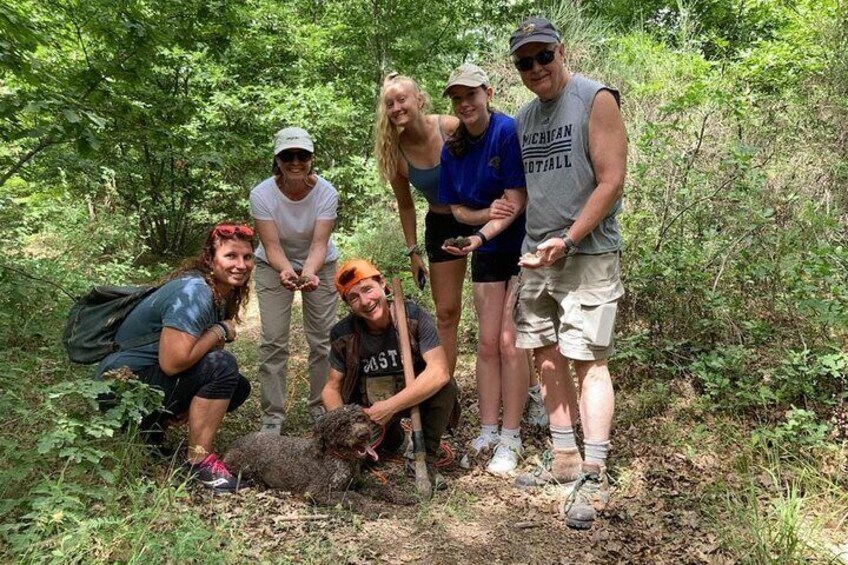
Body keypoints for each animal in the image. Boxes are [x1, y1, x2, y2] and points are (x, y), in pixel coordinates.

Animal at [222, 404, 410, 508]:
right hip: (243, 465)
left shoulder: (358, 483)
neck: (340, 459)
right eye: (342, 426)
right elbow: (351, 496)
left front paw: (402, 496)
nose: (363, 434)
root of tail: (235, 442)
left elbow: (381, 487)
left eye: (360, 418)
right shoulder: (317, 492)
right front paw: (370, 507)